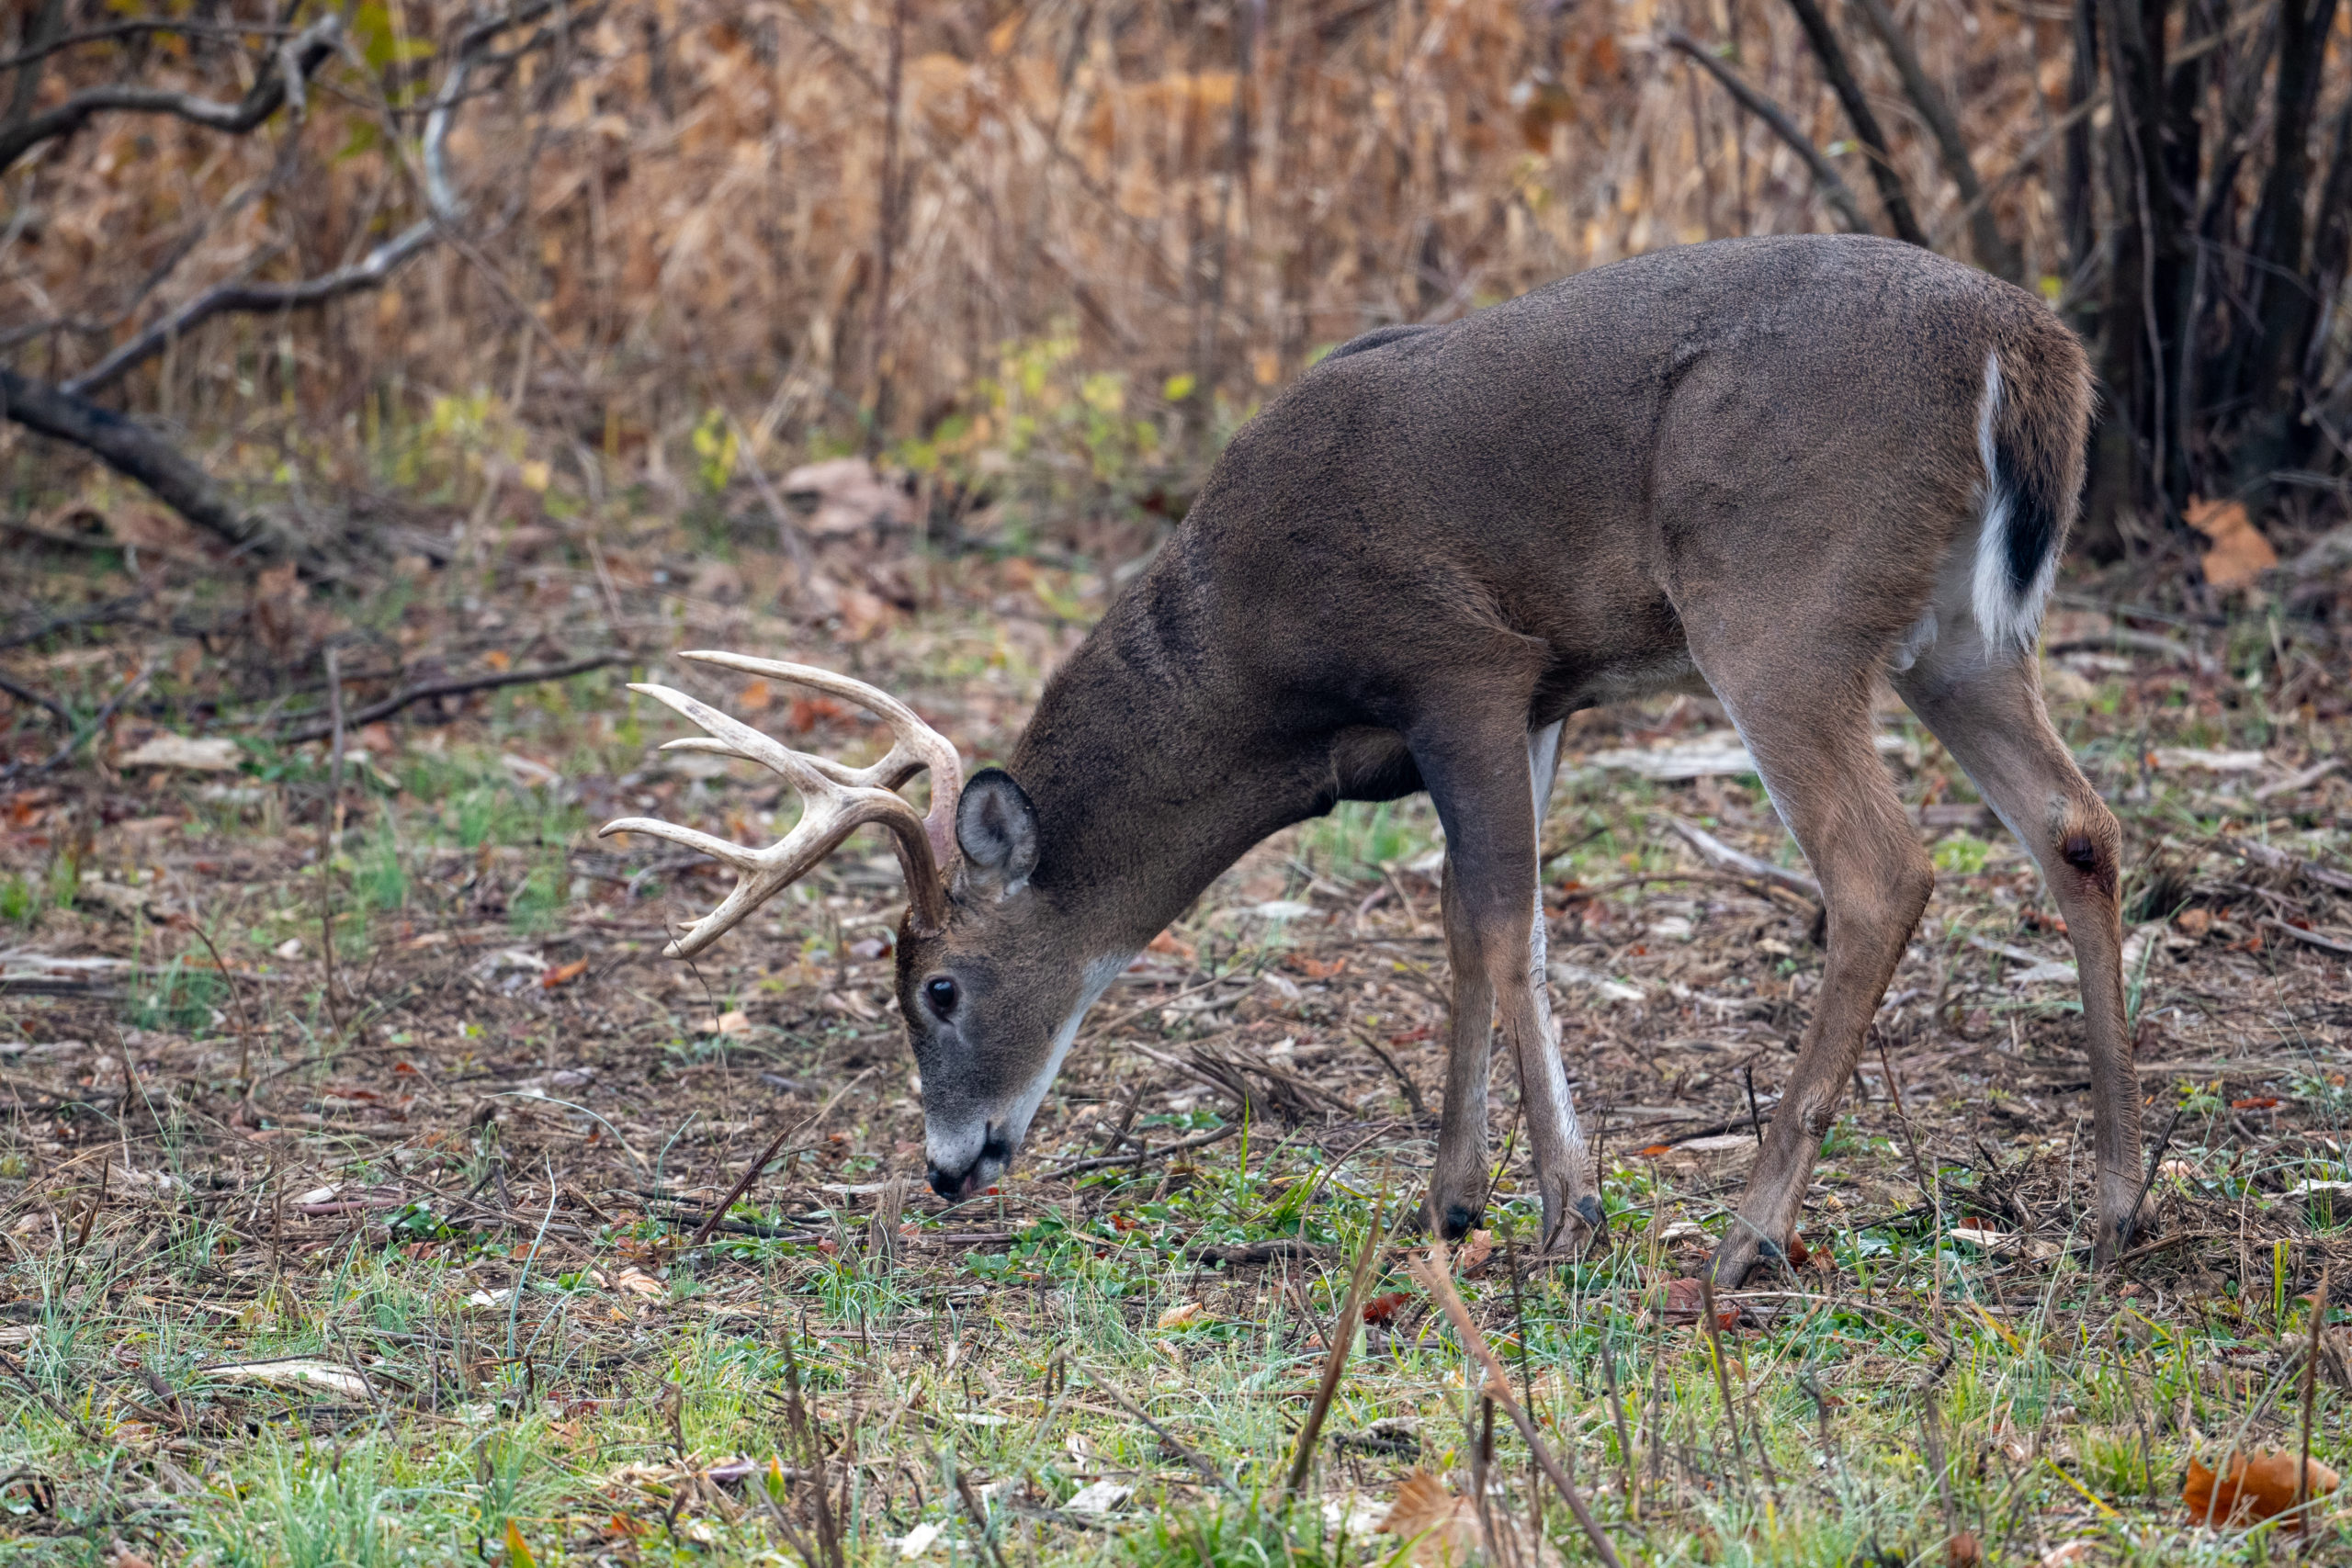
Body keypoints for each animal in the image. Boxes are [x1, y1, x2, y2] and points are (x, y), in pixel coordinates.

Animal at [597, 236, 2144, 1288]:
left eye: (937, 986)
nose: (946, 1166)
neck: (1256, 664)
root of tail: (2027, 347)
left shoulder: (1460, 660)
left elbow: (1496, 922)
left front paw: (1535, 1204)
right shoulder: (1543, 696)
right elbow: (1494, 928)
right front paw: (1491, 1193)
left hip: (1778, 601)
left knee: (1884, 869)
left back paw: (1751, 1232)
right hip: (1959, 637)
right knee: (2078, 823)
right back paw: (2122, 1194)